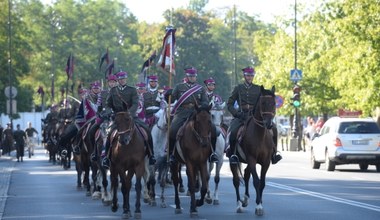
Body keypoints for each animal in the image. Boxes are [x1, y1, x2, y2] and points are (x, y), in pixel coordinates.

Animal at [229, 85, 276, 216]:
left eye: (274, 103)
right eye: (263, 103)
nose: (269, 124)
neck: (259, 135)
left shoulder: (266, 162)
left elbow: (262, 183)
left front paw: (260, 203)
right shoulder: (251, 159)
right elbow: (256, 181)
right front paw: (258, 206)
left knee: (245, 174)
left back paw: (245, 199)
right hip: (233, 161)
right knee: (236, 180)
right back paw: (239, 205)